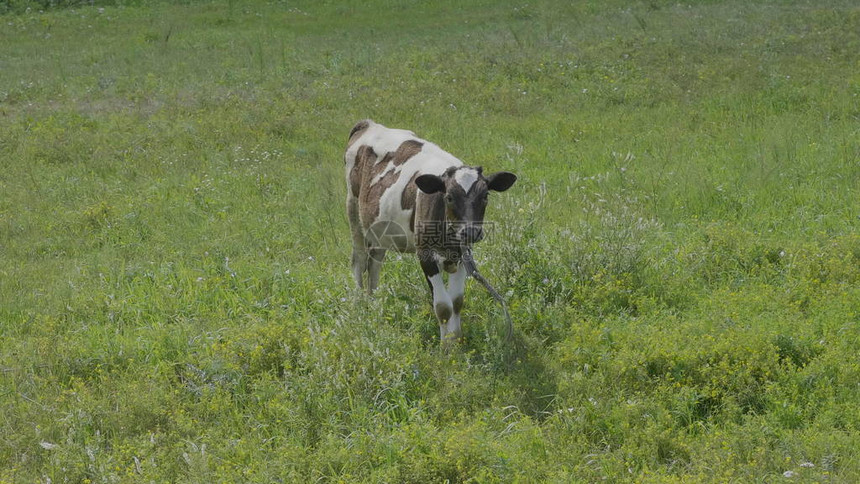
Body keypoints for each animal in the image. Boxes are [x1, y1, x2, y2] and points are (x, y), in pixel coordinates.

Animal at [344, 119, 516, 342]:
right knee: (359, 259)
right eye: (449, 197)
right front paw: (446, 347)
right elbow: (443, 306)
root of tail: (369, 124)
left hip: (379, 227)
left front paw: (456, 339)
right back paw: (359, 304)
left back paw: (373, 302)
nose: (470, 232)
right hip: (353, 211)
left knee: (375, 262)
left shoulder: (462, 253)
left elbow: (457, 302)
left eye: (485, 196)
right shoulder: (425, 254)